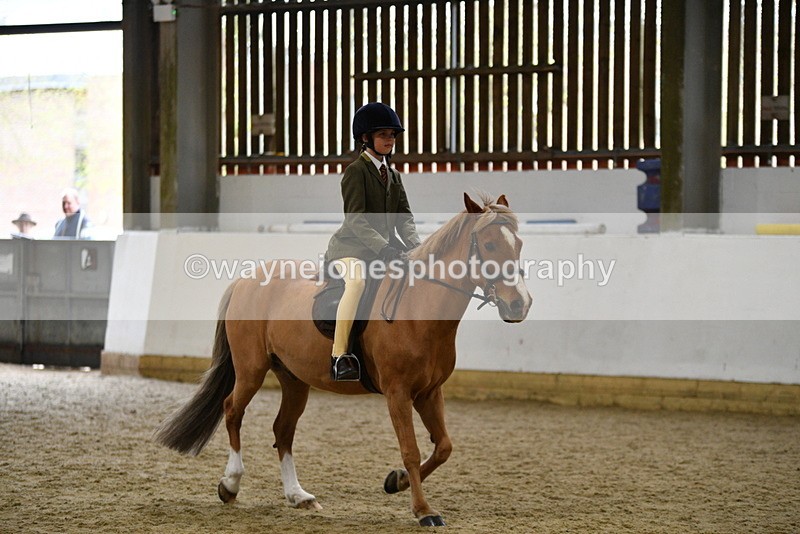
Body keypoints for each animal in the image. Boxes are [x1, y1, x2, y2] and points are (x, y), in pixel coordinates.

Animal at [155, 192, 532, 527]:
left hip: (294, 379)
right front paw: (424, 510)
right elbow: (410, 449)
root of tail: (246, 281)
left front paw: (395, 481)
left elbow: (443, 447)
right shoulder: (398, 394)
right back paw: (231, 484)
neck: (419, 308)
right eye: (489, 245)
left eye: (518, 245)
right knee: (233, 410)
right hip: (251, 369)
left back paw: (298, 496)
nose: (520, 304)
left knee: (283, 430)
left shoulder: (429, 392)